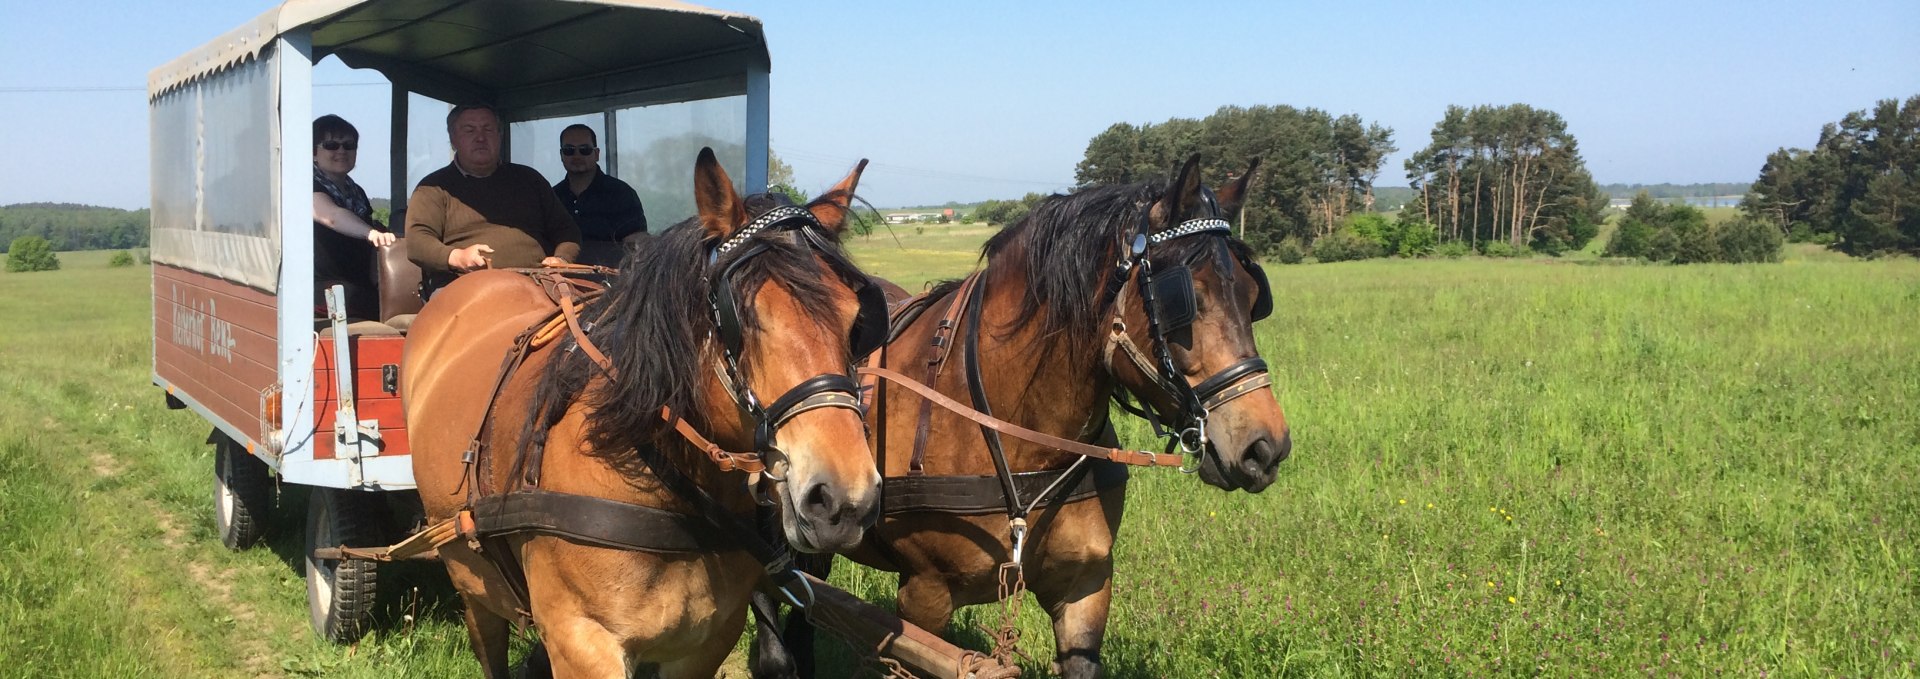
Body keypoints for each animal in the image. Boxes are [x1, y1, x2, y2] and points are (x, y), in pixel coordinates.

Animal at [408, 151, 887, 675]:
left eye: (856, 320)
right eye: (739, 319)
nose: (844, 499)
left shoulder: (706, 641)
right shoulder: (581, 642)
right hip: (469, 576)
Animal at [748, 156, 1290, 675]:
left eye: (1252, 296)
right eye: (1185, 300)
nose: (1266, 445)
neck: (1019, 437)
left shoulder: (1086, 585)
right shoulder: (923, 599)